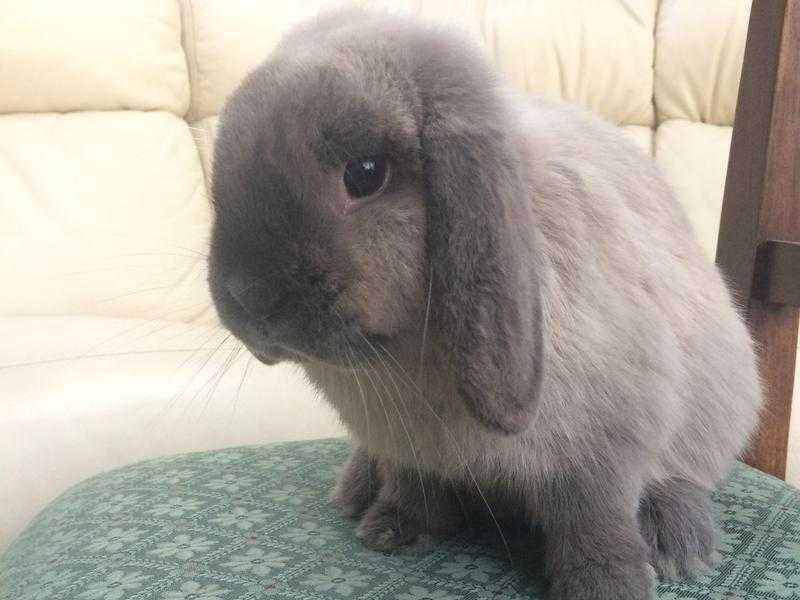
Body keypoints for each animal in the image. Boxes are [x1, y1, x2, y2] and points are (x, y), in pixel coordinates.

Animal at [203, 9, 760, 600]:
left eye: (365, 173)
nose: (248, 298)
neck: (406, 361)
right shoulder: (409, 452)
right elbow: (414, 488)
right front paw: (392, 531)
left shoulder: (606, 445)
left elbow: (595, 518)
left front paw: (610, 583)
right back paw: (355, 491)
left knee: (683, 476)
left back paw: (679, 542)